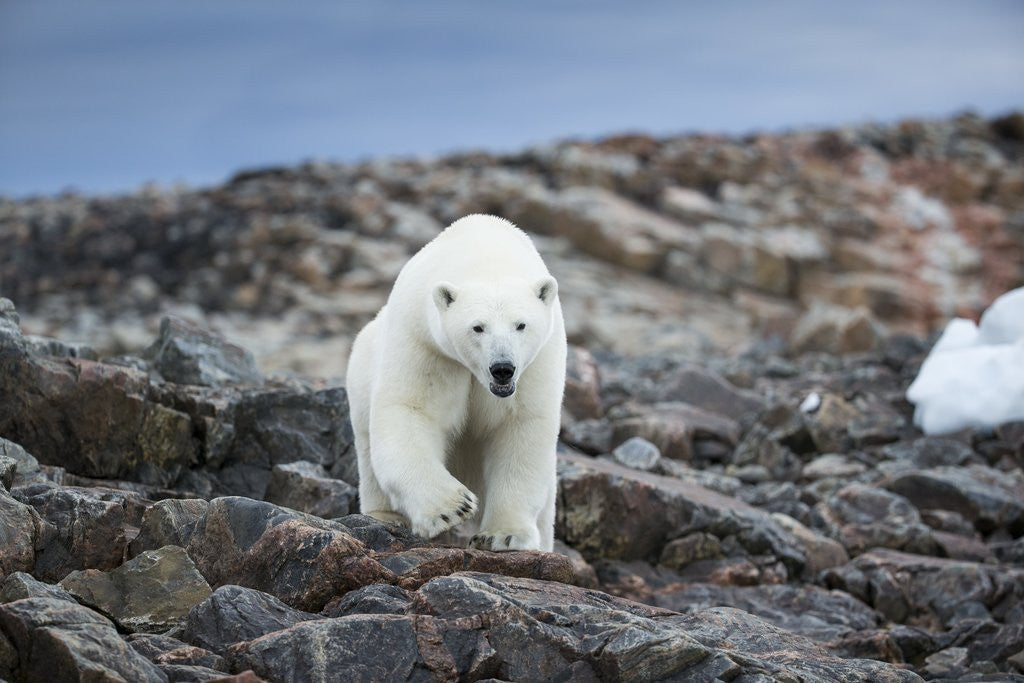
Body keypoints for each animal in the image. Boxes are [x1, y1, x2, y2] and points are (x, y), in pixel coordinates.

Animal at [345, 214, 566, 551]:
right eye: (477, 327)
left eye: (521, 325)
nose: (503, 368)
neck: (482, 252)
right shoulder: (426, 342)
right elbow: (411, 409)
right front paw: (453, 507)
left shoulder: (537, 361)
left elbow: (520, 428)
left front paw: (504, 535)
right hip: (361, 374)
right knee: (369, 450)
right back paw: (385, 516)